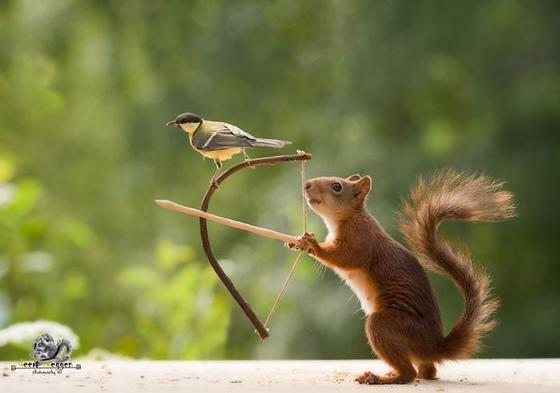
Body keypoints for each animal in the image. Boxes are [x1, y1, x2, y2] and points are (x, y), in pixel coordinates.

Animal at [290, 171, 516, 382]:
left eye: (336, 186)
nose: (306, 184)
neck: (348, 218)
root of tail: (432, 346)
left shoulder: (360, 238)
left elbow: (343, 257)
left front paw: (312, 244)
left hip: (388, 327)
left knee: (409, 373)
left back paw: (379, 378)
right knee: (427, 371)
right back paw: (396, 373)